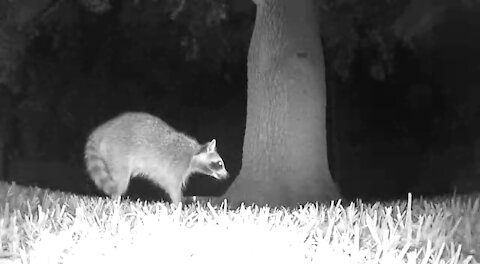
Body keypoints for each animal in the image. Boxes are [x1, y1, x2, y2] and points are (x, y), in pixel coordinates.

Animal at [84, 111, 229, 204]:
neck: (193, 153)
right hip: (118, 151)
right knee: (120, 182)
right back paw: (115, 202)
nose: (227, 176)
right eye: (220, 164)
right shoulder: (177, 166)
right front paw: (179, 206)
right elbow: (173, 187)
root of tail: (102, 131)